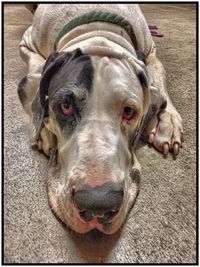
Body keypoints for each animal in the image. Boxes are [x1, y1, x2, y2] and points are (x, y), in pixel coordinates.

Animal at [18, 3, 184, 234]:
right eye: (66, 106)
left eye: (129, 111)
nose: (97, 204)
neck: (98, 29)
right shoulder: (28, 43)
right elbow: (35, 70)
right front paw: (44, 132)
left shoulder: (151, 52)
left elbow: (159, 73)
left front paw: (166, 120)